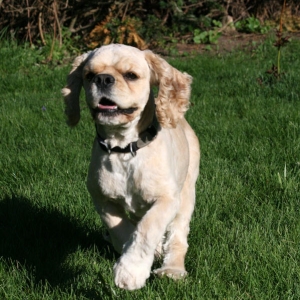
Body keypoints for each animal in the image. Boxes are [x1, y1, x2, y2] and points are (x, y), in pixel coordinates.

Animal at [61, 43, 199, 290]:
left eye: (131, 75)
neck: (123, 149)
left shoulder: (167, 199)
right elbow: (122, 229)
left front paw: (130, 272)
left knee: (178, 236)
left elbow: (147, 228)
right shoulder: (102, 198)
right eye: (89, 75)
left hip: (187, 192)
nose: (103, 79)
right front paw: (131, 255)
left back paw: (172, 270)